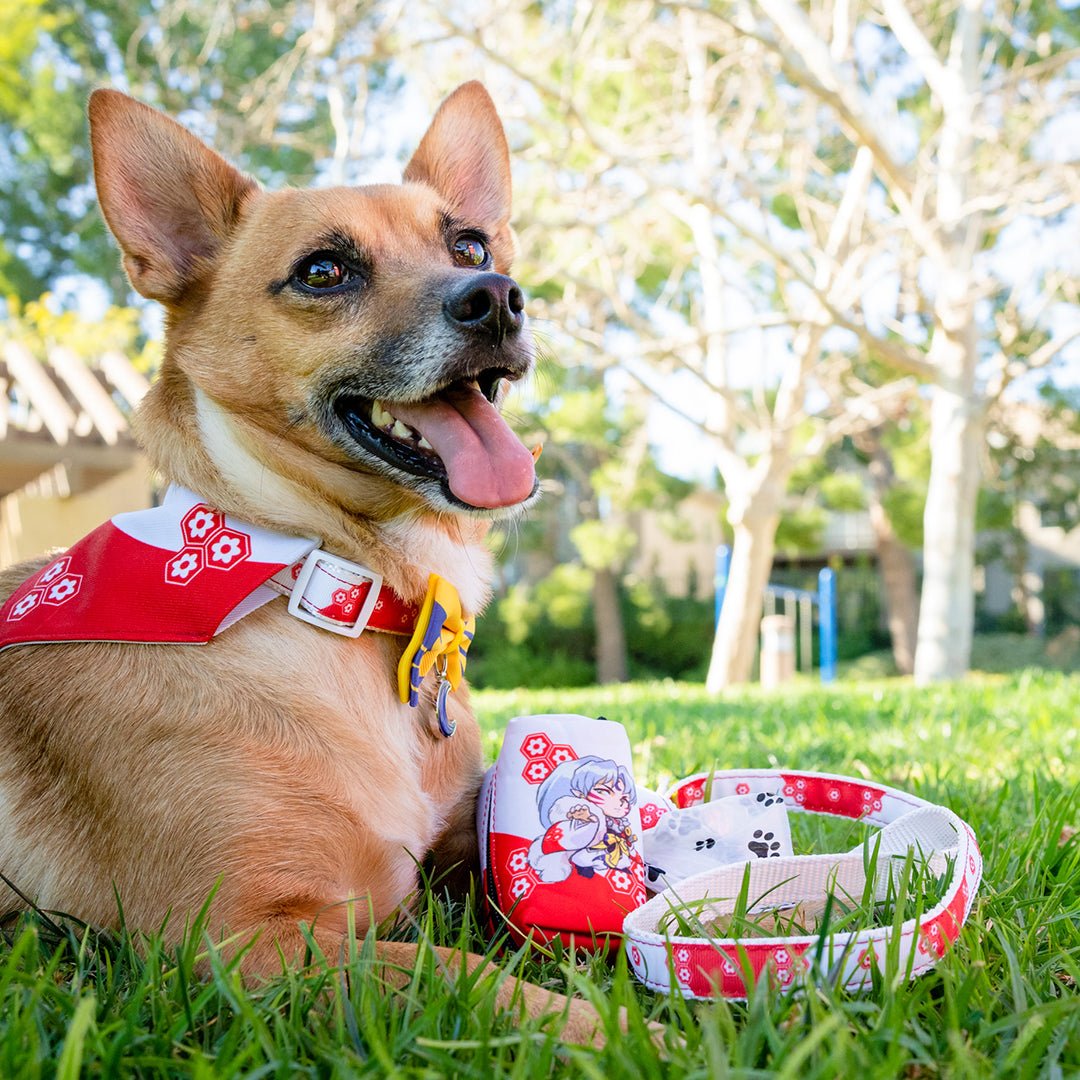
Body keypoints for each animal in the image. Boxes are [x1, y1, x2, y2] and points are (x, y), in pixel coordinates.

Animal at [0, 79, 613, 1041]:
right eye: (325, 271)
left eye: (470, 243)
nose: (499, 297)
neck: (329, 582)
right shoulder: (242, 940)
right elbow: (466, 972)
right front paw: (634, 1031)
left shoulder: (460, 858)